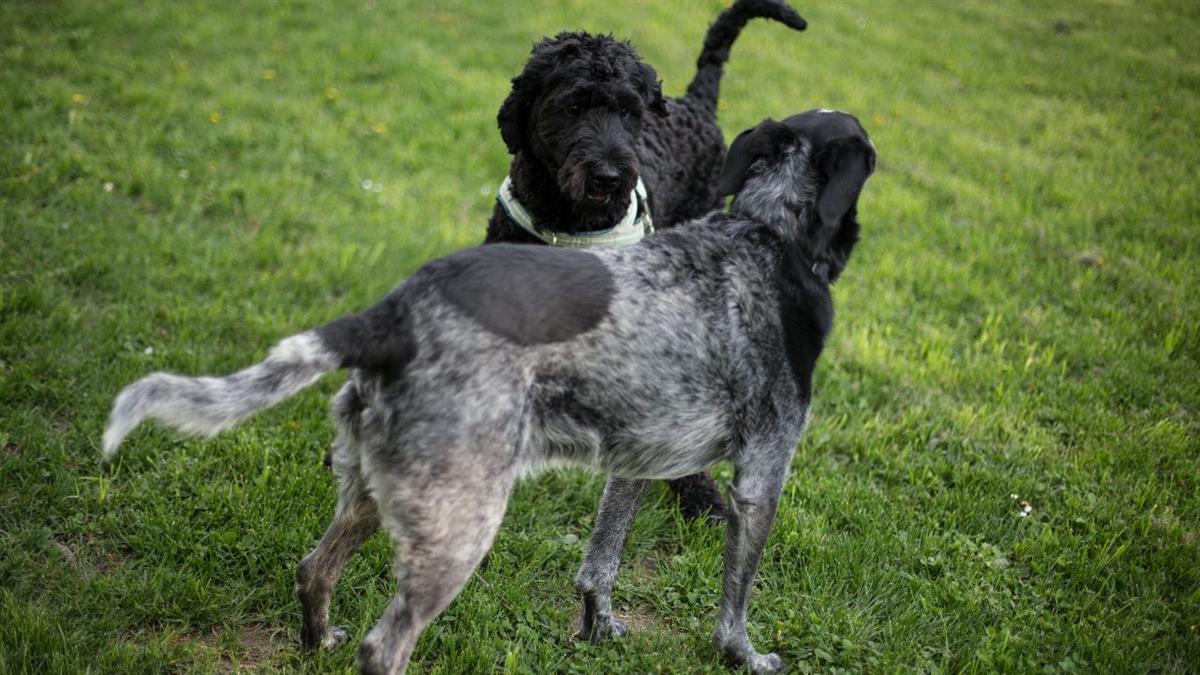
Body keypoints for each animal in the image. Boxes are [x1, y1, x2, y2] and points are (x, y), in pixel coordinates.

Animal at [103, 107, 873, 667]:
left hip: (383, 489)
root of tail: (392, 313)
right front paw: (745, 657)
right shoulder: (762, 477)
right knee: (383, 646)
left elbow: (599, 566)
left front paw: (598, 632)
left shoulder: (637, 460)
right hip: (463, 523)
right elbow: (733, 604)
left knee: (312, 571)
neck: (768, 234)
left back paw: (317, 641)